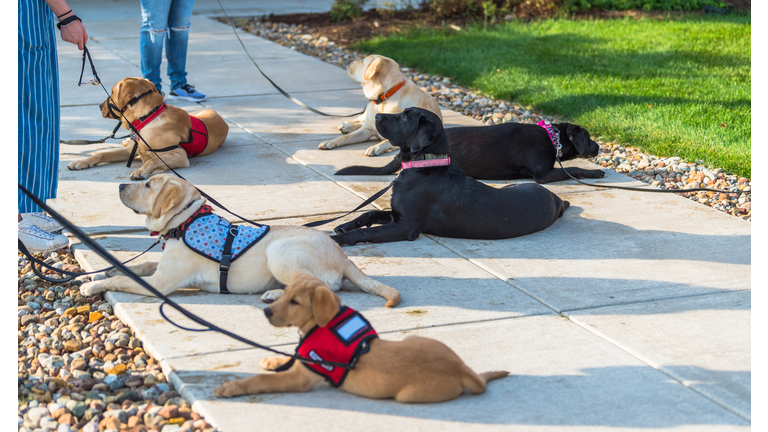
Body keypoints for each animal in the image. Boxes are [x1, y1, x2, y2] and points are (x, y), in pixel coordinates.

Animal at [67, 77, 228, 181]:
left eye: (112, 92)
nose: (99, 106)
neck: (147, 118)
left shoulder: (179, 155)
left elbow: (152, 161)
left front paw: (140, 171)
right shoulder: (129, 151)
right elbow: (100, 154)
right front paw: (80, 162)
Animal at [79, 172, 402, 308]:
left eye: (147, 185)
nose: (120, 185)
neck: (185, 221)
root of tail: (343, 256)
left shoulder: (160, 284)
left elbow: (123, 279)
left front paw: (92, 284)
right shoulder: (159, 269)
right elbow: (138, 264)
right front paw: (103, 270)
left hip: (280, 251)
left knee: (323, 288)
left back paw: (275, 295)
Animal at [213, 276, 508, 404]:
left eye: (295, 302)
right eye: (283, 295)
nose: (266, 312)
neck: (323, 324)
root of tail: (463, 371)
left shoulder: (302, 377)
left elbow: (261, 380)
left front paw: (232, 387)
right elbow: (290, 357)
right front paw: (272, 359)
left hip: (406, 396)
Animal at [330, 108, 568, 246]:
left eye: (405, 116)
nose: (377, 116)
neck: (424, 165)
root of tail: (557, 200)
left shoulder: (406, 226)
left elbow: (364, 234)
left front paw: (336, 239)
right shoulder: (397, 215)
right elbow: (369, 213)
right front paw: (347, 224)